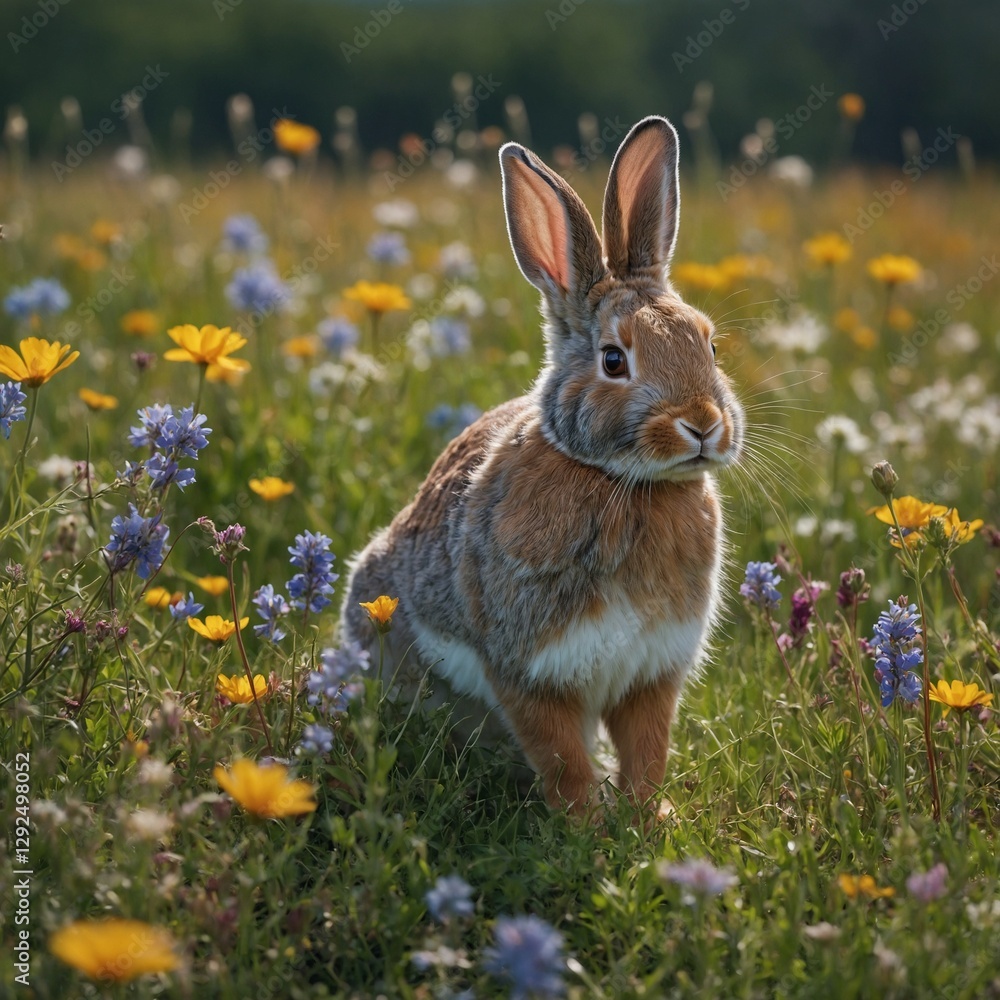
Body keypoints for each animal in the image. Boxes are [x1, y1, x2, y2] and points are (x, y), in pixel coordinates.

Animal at [341, 116, 745, 815]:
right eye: (614, 360)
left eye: (709, 343)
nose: (702, 424)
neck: (621, 482)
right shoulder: (528, 670)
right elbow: (561, 757)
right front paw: (585, 821)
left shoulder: (651, 672)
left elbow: (647, 749)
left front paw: (647, 817)